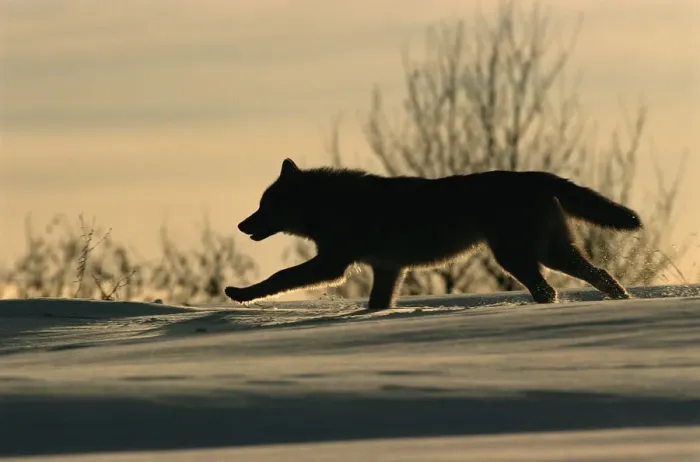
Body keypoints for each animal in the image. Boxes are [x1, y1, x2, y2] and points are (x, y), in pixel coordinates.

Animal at [225, 158, 642, 309]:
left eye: (264, 206)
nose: (241, 225)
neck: (332, 204)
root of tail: (538, 175)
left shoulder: (332, 264)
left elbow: (280, 276)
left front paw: (239, 293)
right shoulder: (388, 269)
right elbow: (377, 304)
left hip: (517, 257)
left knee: (550, 289)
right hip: (550, 253)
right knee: (600, 276)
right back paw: (623, 302)